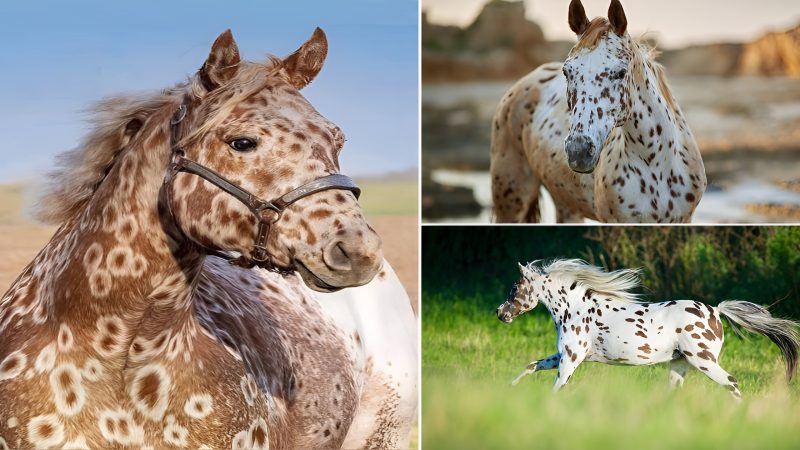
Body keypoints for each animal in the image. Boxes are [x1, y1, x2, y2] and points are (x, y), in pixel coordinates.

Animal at [488, 0, 708, 222]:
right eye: (567, 72)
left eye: (621, 72)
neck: (656, 164)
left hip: (567, 206)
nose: (579, 151)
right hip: (511, 199)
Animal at [496, 258, 796, 400]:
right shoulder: (562, 356)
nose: (501, 313)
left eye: (515, 287)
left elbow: (557, 388)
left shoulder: (570, 360)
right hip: (680, 365)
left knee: (732, 384)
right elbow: (532, 365)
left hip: (704, 362)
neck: (576, 309)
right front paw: (507, 391)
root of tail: (715, 312)